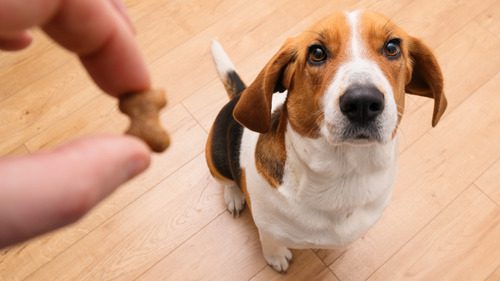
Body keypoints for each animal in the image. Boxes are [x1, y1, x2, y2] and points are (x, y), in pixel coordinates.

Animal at [205, 10, 448, 272]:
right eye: (317, 53)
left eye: (392, 47)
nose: (362, 102)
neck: (344, 173)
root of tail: (240, 94)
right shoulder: (267, 227)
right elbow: (269, 241)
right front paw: (276, 256)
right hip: (214, 159)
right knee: (226, 181)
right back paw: (234, 196)